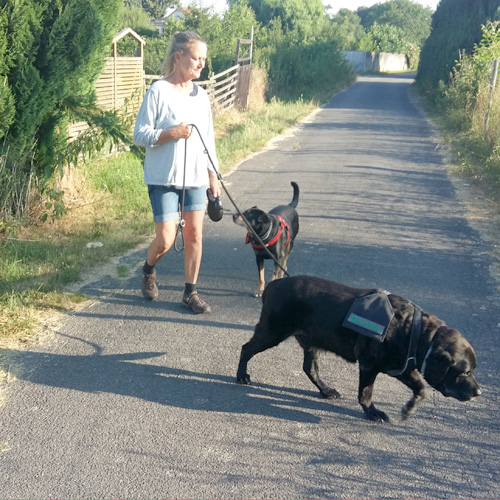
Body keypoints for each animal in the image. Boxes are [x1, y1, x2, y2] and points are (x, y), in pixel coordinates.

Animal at [236, 276, 482, 420]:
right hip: (272, 332)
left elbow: (420, 388)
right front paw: (373, 413)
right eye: (464, 372)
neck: (414, 331)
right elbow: (365, 394)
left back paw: (326, 390)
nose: (479, 392)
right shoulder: (369, 366)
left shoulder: (400, 367)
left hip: (311, 341)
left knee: (310, 369)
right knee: (246, 348)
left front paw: (409, 409)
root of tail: (273, 285)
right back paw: (241, 376)